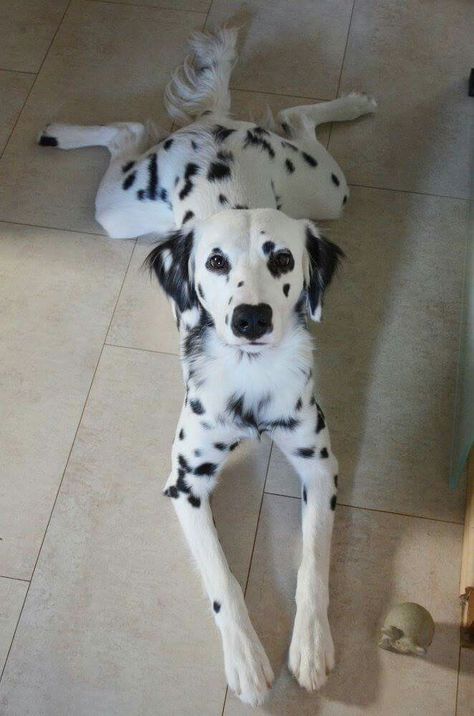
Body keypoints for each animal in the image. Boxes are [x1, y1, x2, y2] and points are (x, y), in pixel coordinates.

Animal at [39, 26, 376, 704]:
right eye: (215, 262)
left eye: (282, 260)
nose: (249, 319)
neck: (250, 379)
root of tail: (216, 125)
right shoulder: (186, 482)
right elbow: (223, 581)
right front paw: (245, 660)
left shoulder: (320, 468)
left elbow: (314, 563)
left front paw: (311, 643)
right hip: (120, 210)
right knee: (123, 132)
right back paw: (63, 130)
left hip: (327, 190)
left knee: (297, 118)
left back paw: (350, 103)